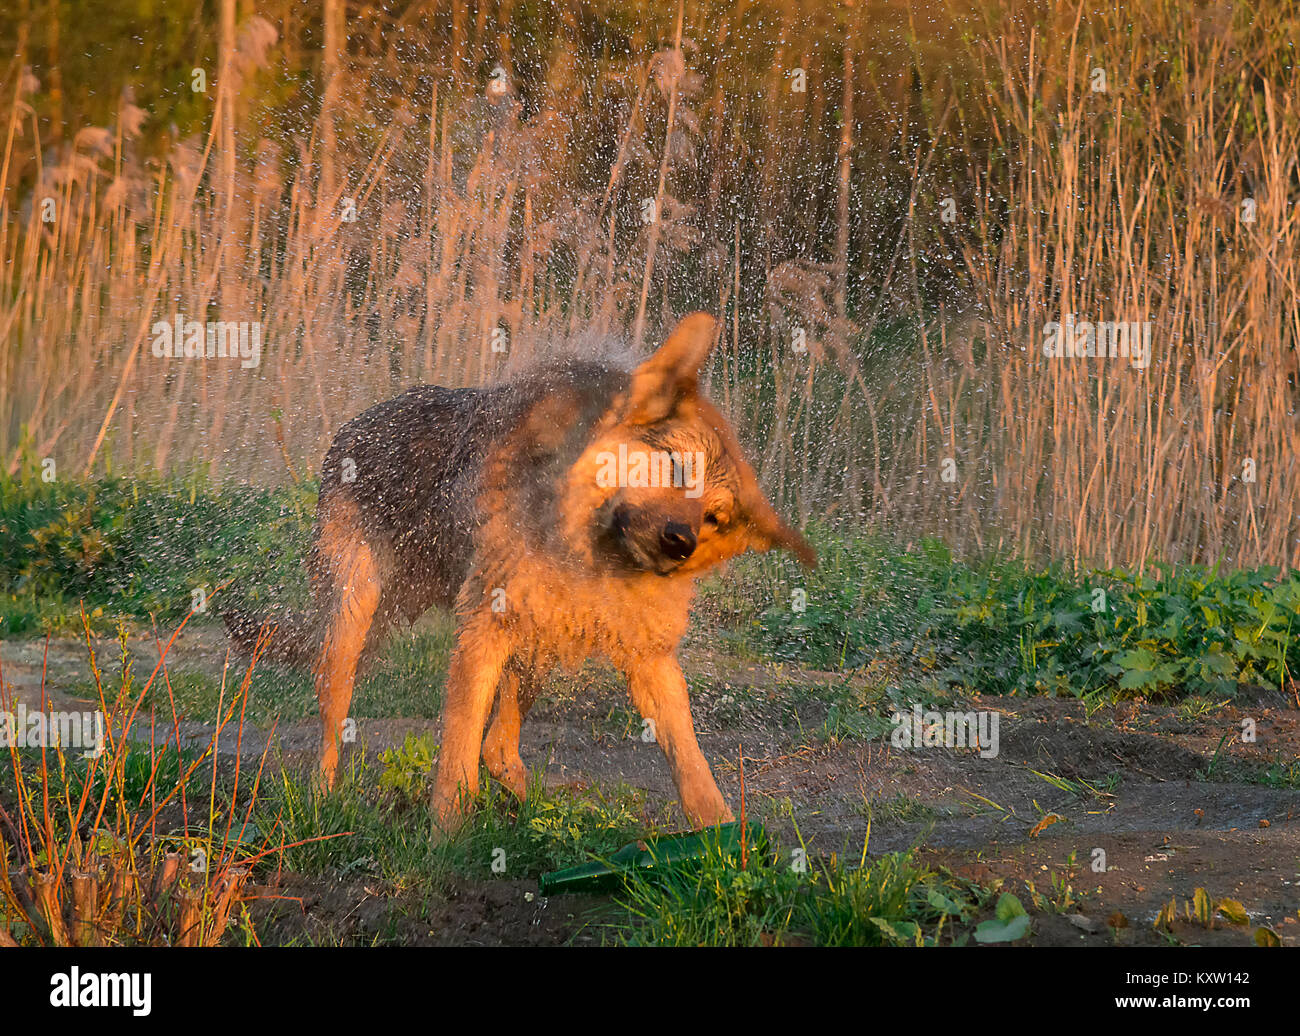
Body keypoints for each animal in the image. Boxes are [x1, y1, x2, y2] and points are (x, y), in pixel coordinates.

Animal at [224, 310, 811, 826]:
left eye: (715, 517)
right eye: (675, 466)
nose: (680, 542)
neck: (586, 552)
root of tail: (354, 424)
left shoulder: (648, 656)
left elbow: (692, 763)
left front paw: (726, 837)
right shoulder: (482, 633)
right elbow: (455, 762)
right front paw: (443, 845)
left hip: (536, 639)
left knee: (500, 747)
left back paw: (536, 810)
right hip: (353, 622)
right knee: (334, 723)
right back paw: (321, 801)